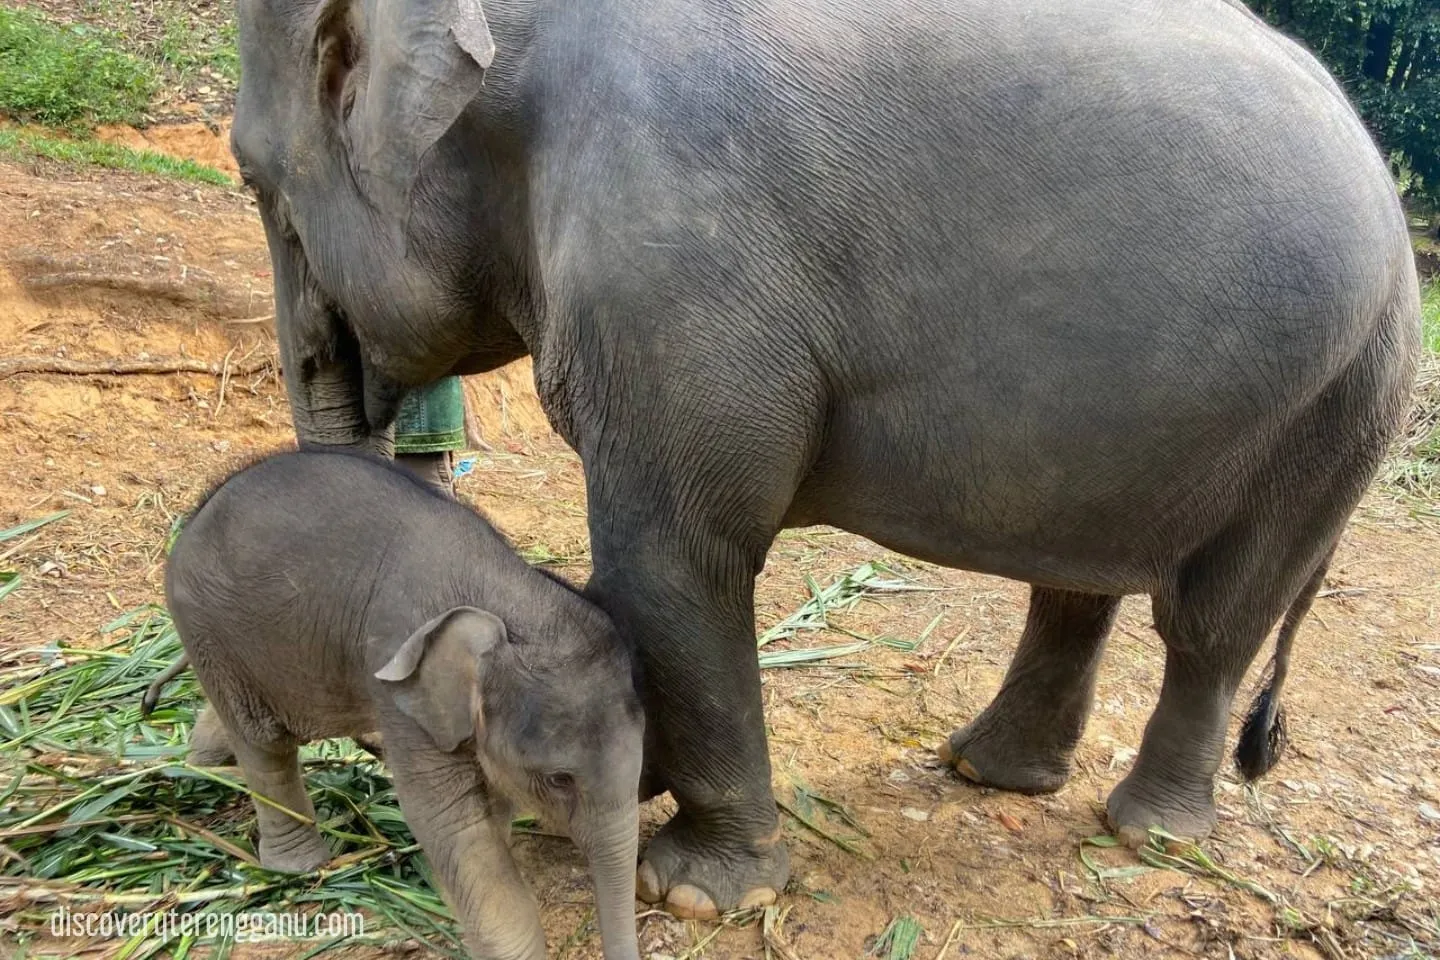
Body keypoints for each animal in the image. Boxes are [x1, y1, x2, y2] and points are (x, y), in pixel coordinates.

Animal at [162, 449, 644, 960]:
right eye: (559, 780)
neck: (508, 596)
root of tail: (197, 513)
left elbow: (489, 806)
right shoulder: (399, 683)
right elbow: (452, 822)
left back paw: (200, 766)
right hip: (208, 624)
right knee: (264, 742)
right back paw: (296, 865)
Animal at [229, 0, 1423, 920]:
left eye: (248, 178)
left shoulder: (672, 268)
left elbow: (679, 553)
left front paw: (697, 894)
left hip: (1338, 406)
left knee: (1215, 621)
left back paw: (1150, 835)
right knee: (1080, 580)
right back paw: (986, 769)